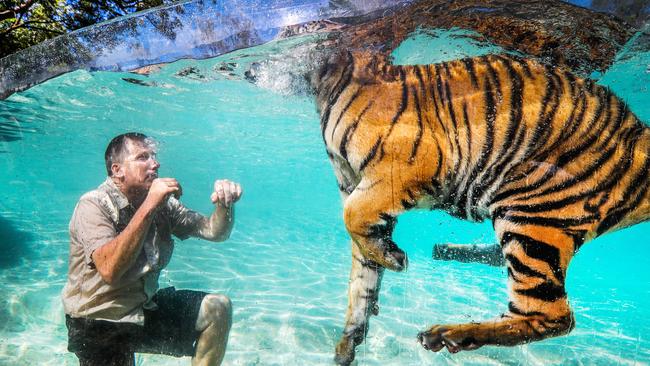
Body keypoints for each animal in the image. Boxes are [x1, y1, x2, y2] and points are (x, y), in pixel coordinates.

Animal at [310, 51, 648, 366]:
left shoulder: (409, 166)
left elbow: (351, 218)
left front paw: (394, 259)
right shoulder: (358, 188)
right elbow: (361, 273)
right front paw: (348, 342)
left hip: (530, 214)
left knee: (552, 314)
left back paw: (450, 334)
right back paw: (448, 252)